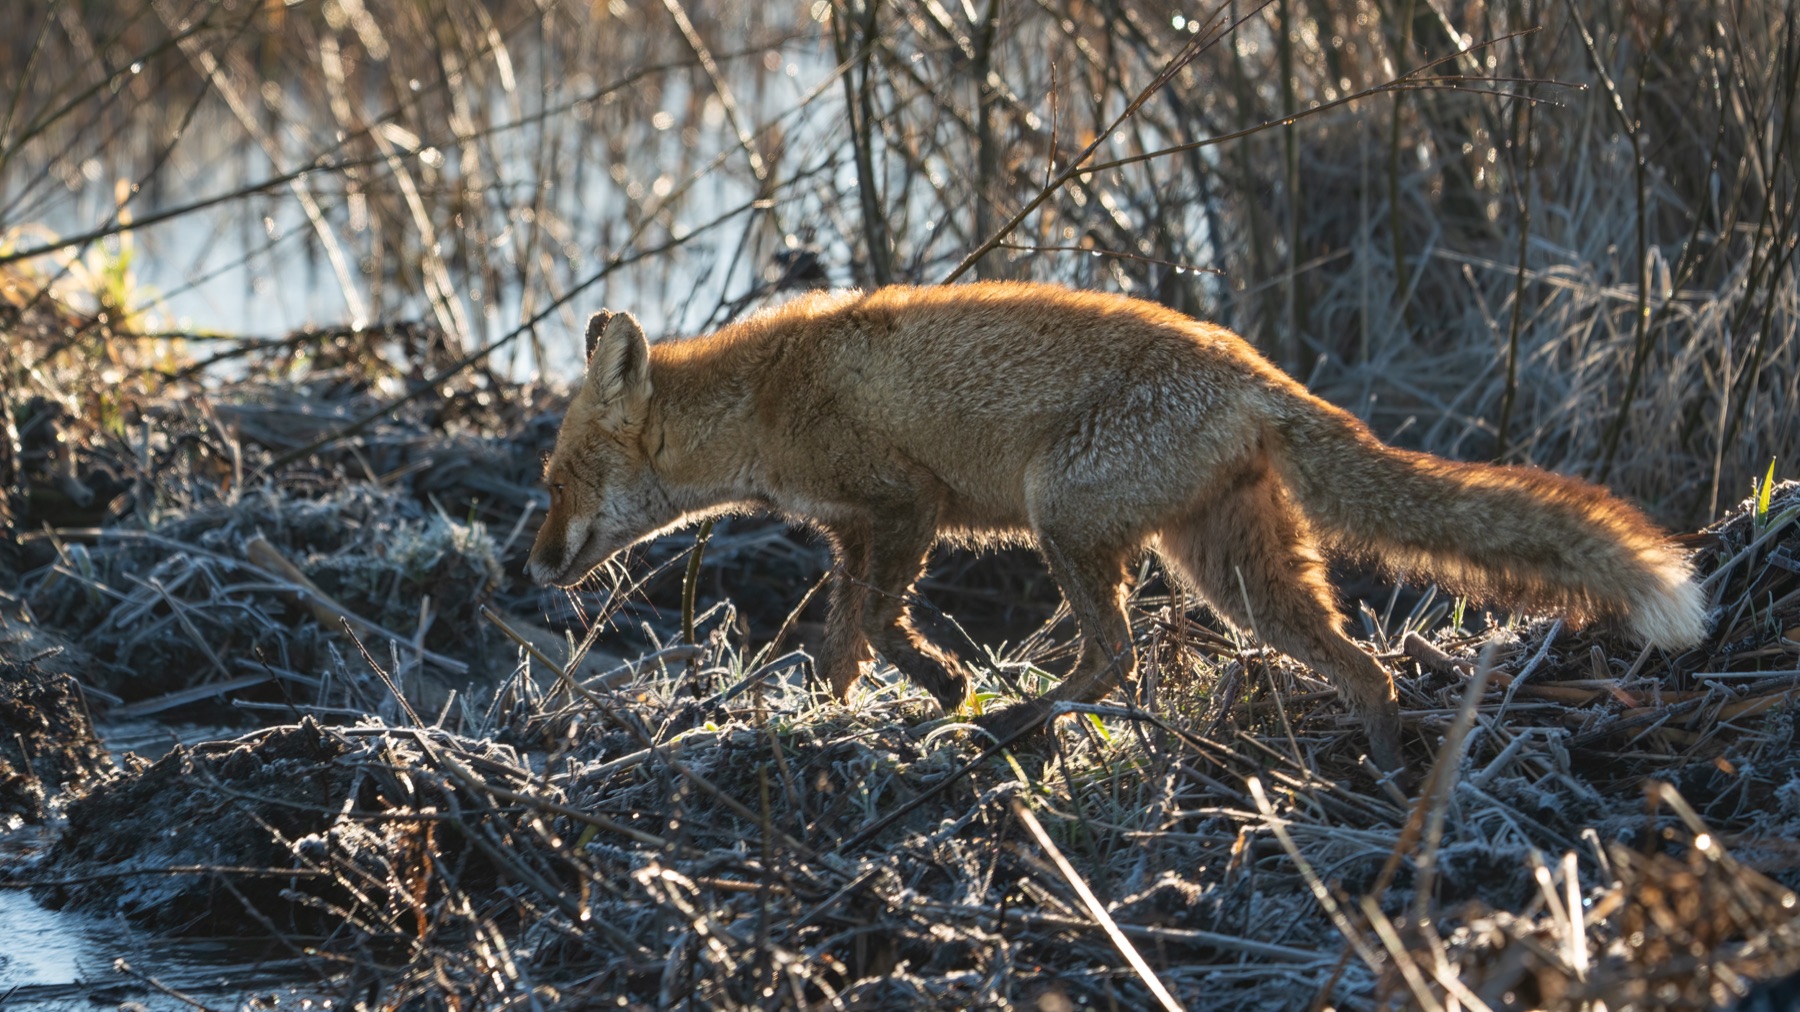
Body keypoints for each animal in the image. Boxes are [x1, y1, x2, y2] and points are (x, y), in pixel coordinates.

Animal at [526, 281, 1707, 771]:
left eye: (559, 478)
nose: (530, 567)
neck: (767, 400)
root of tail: (1253, 369)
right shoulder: (855, 532)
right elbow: (854, 636)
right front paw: (863, 707)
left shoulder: (904, 505)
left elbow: (870, 631)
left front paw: (926, 696)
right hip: (1230, 573)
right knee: (1361, 667)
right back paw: (1387, 775)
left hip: (1068, 519)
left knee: (1117, 656)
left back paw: (1011, 725)